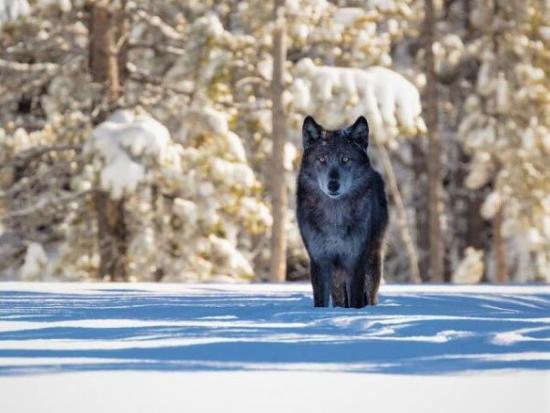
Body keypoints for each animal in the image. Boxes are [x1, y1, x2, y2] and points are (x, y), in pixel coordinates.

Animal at [300, 115, 390, 306]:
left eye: (346, 159)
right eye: (322, 159)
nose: (333, 185)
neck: (335, 216)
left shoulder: (355, 261)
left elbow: (356, 300)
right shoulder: (320, 261)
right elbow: (321, 301)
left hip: (372, 261)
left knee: (370, 296)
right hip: (336, 273)